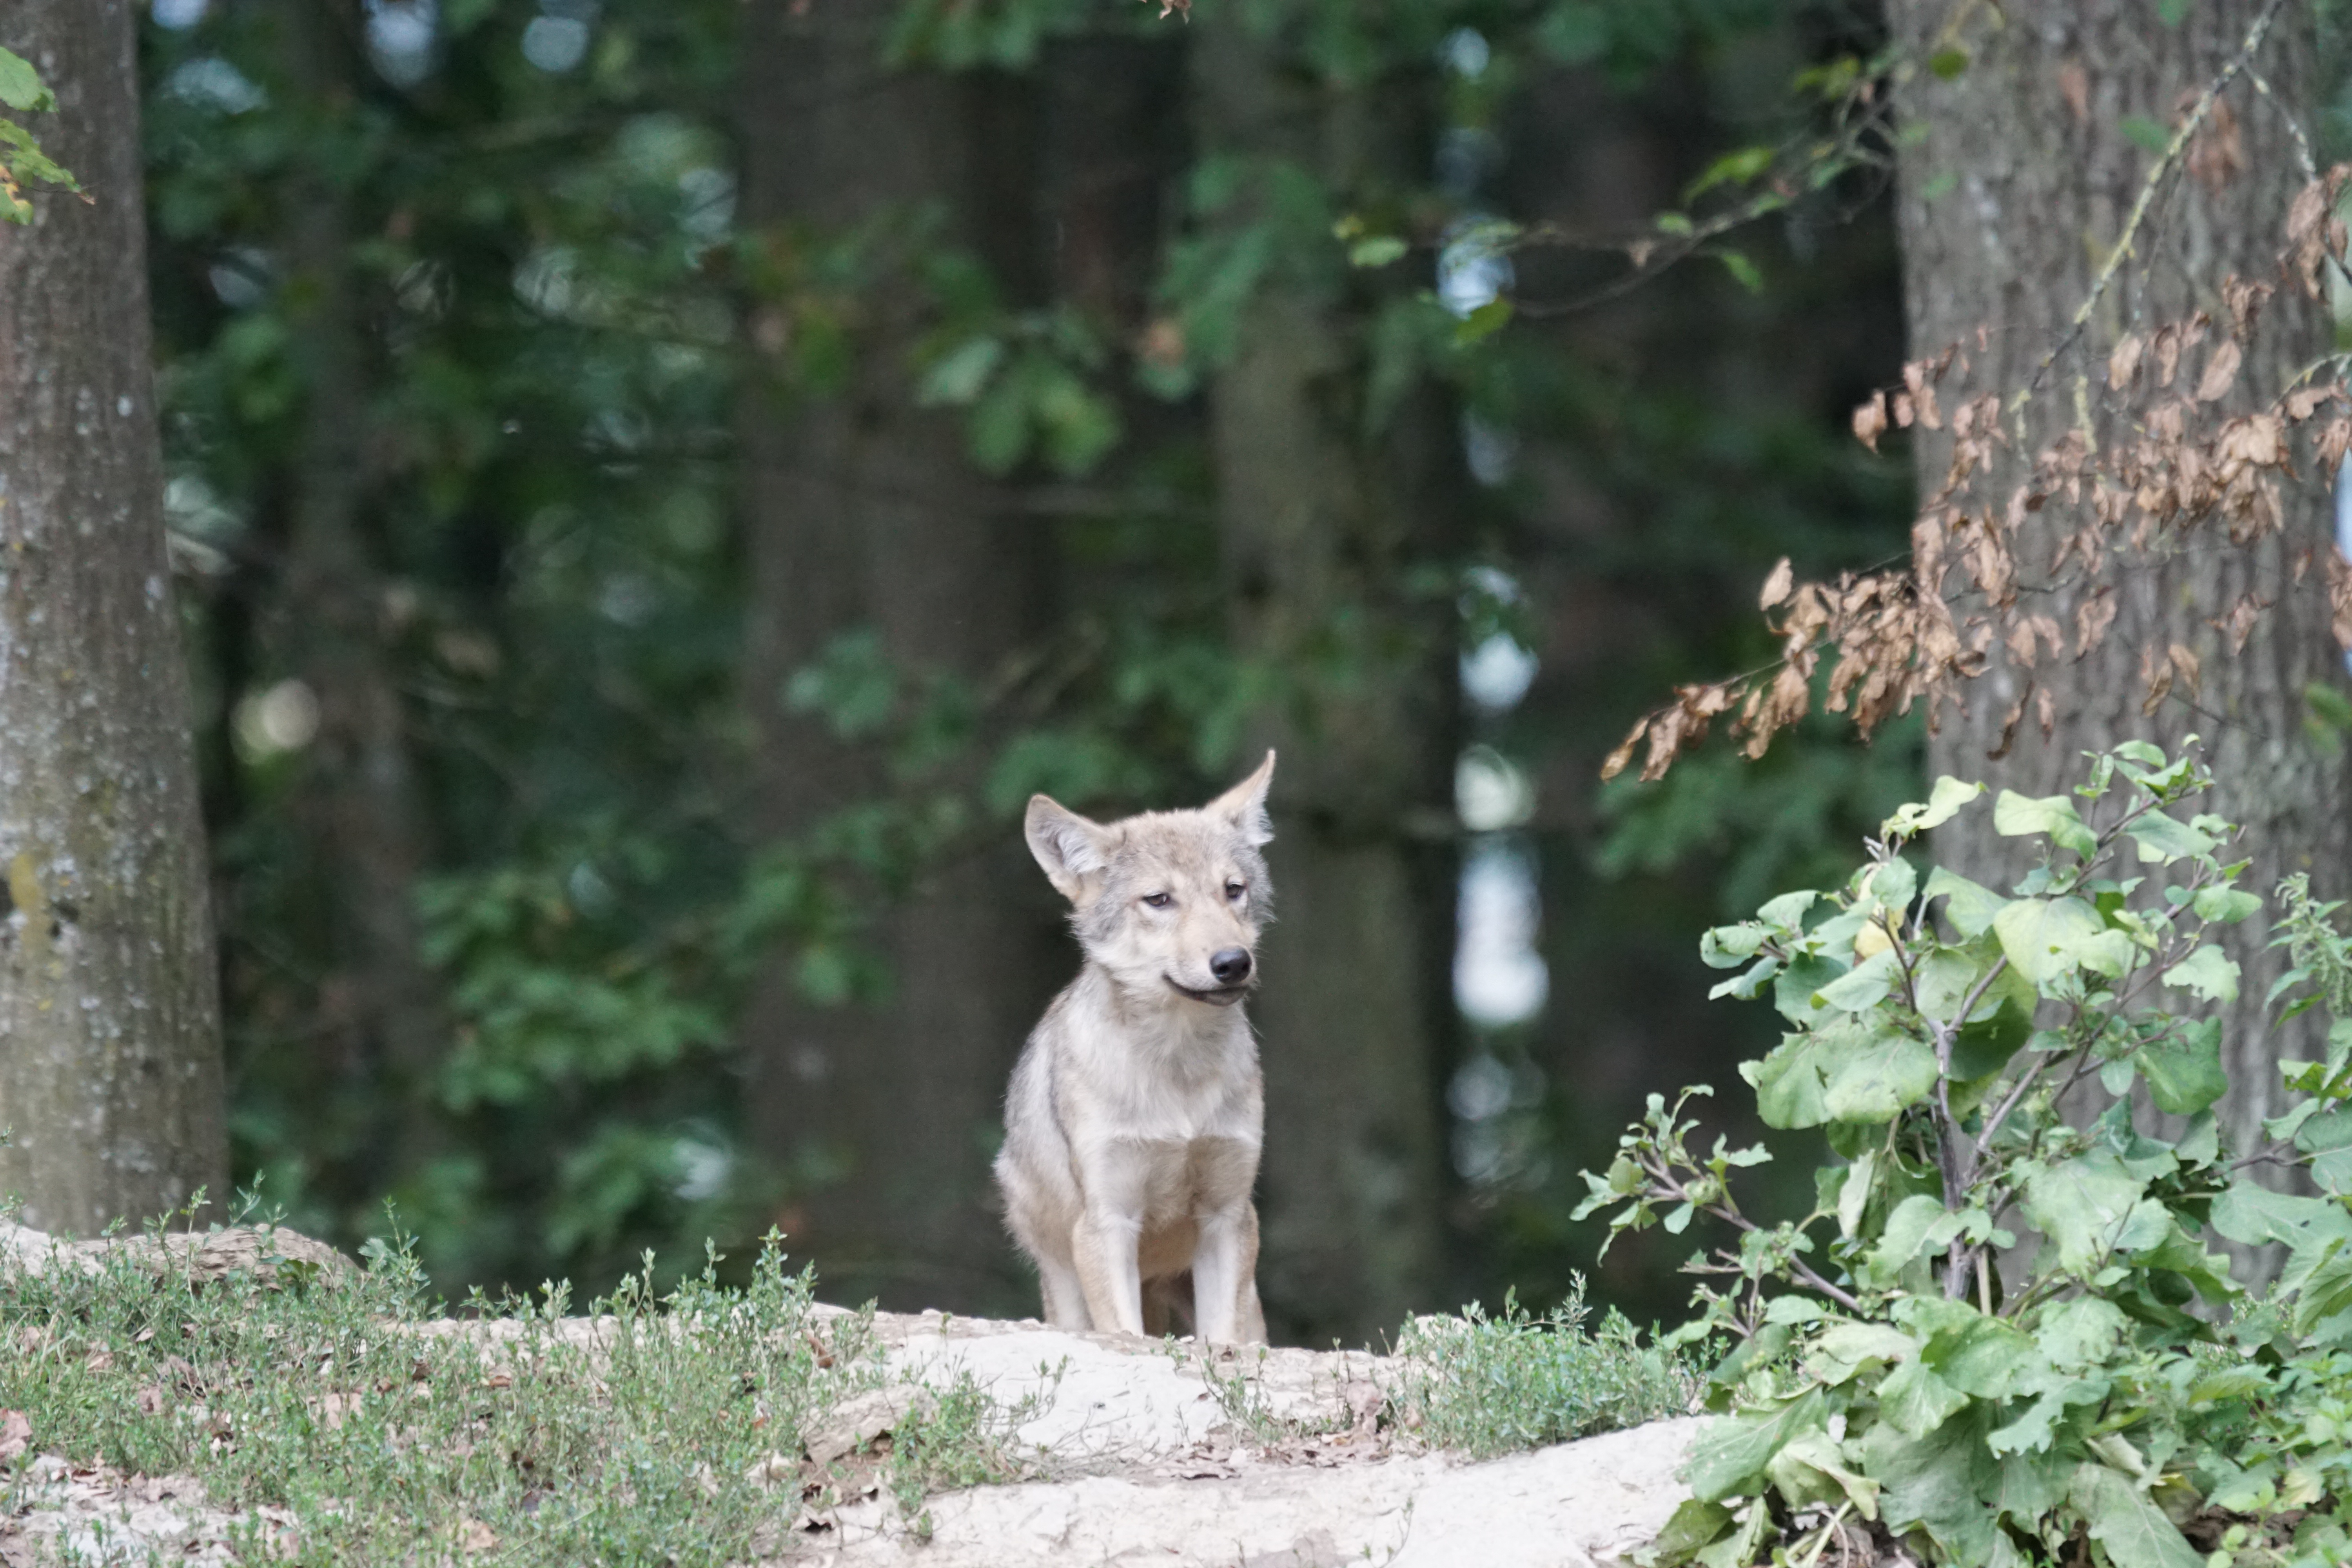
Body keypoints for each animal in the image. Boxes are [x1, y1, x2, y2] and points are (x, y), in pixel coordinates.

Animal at [997, 752, 1289, 1345]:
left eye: (1233, 889)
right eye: (1159, 900)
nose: (1233, 962)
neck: (1177, 1071)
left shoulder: (1228, 1216)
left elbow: (1220, 1340)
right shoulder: (1107, 1222)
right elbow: (1125, 1333)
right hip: (1067, 1286)